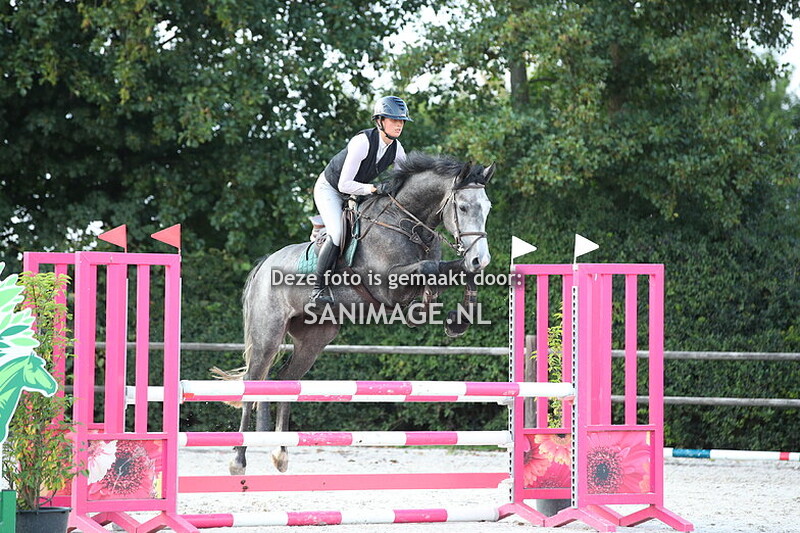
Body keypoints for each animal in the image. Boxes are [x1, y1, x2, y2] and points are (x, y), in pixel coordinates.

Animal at [218, 152, 494, 475]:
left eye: (487, 207)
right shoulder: (388, 285)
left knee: (285, 380)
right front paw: (430, 306)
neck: (407, 223)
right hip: (267, 334)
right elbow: (428, 268)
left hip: (313, 339)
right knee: (253, 380)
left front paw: (457, 319)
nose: (481, 258)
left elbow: (457, 270)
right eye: (462, 207)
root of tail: (263, 264)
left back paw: (280, 453)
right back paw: (238, 459)